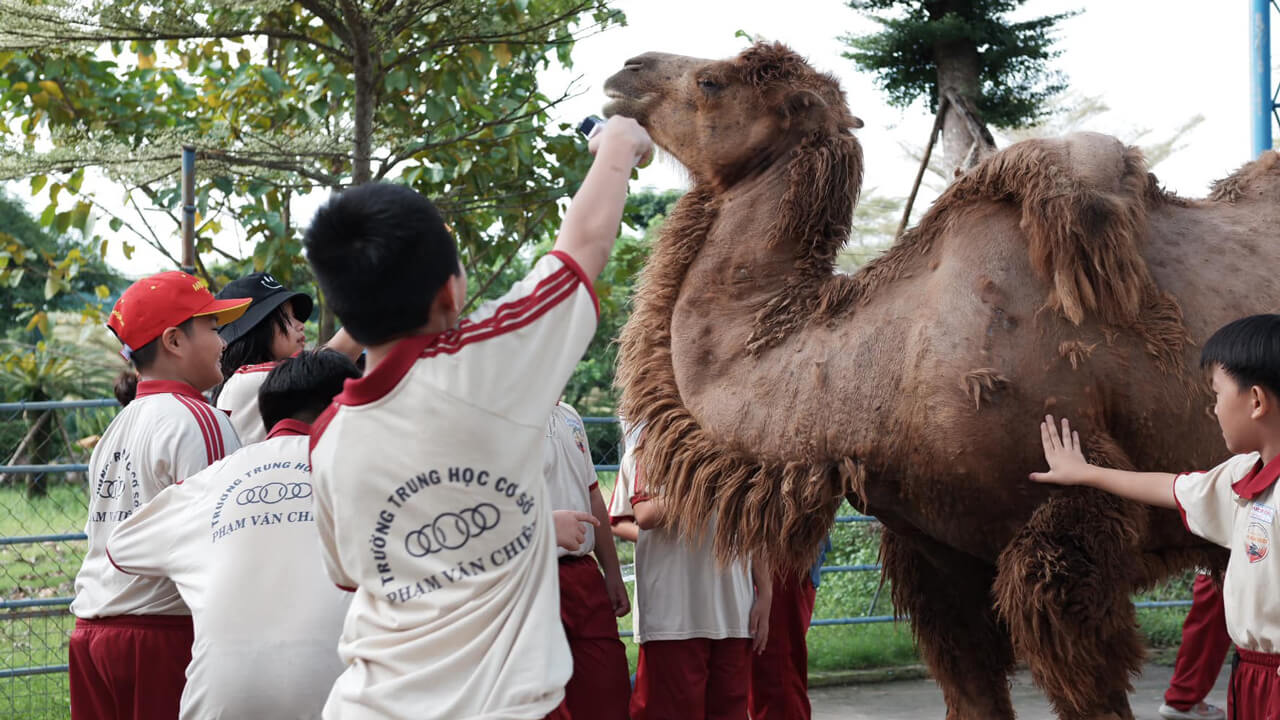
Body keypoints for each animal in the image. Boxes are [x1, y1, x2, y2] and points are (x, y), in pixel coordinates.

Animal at [601, 40, 1280, 717]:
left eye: (713, 82)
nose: (625, 71)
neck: (882, 362)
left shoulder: (1067, 539)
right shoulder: (935, 556)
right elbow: (973, 689)